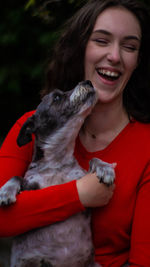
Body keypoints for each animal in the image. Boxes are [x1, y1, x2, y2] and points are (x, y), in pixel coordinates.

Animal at [0, 81, 115, 267]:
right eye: (56, 97)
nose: (88, 82)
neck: (56, 162)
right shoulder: (32, 185)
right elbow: (16, 177)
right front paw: (6, 191)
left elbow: (93, 159)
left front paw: (104, 168)